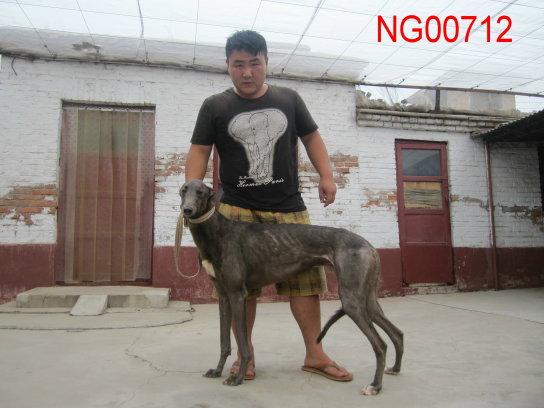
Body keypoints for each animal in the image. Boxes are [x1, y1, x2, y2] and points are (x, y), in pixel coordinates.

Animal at [179, 180, 403, 395]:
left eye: (200, 192)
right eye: (183, 190)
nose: (187, 210)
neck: (217, 231)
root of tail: (370, 246)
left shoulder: (237, 294)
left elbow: (243, 345)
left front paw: (238, 378)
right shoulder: (224, 296)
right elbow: (224, 341)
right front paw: (217, 371)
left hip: (351, 301)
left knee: (380, 345)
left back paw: (375, 386)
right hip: (367, 300)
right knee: (397, 333)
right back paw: (395, 368)